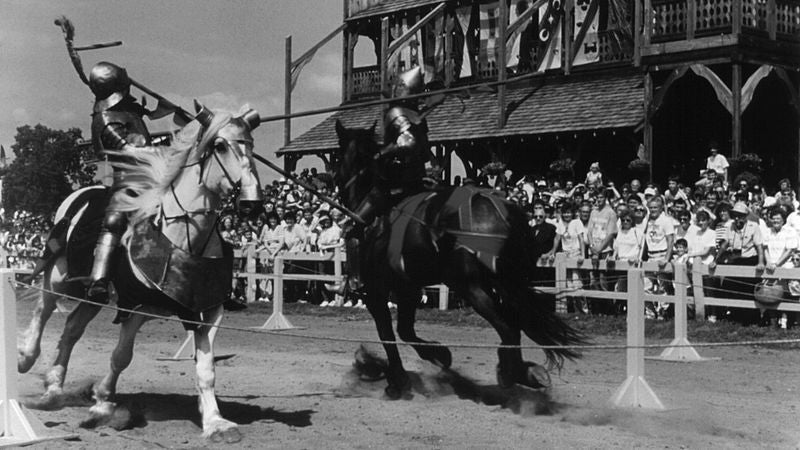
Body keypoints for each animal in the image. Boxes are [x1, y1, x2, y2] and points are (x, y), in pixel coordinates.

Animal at [17, 104, 262, 442]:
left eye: (250, 144)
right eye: (220, 145)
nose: (252, 203)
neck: (181, 234)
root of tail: (79, 195)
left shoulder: (205, 311)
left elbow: (207, 368)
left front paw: (215, 422)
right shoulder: (135, 307)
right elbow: (122, 356)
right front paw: (102, 404)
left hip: (94, 295)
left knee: (71, 328)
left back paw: (54, 387)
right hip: (57, 276)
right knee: (43, 310)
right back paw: (26, 358)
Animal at [334, 121, 584, 400]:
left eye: (339, 156)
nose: (336, 184)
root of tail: (502, 211)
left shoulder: (377, 291)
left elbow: (387, 333)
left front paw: (397, 379)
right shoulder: (407, 288)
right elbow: (405, 330)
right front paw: (438, 354)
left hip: (470, 286)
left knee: (508, 328)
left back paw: (511, 372)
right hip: (504, 283)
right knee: (515, 323)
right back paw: (523, 372)